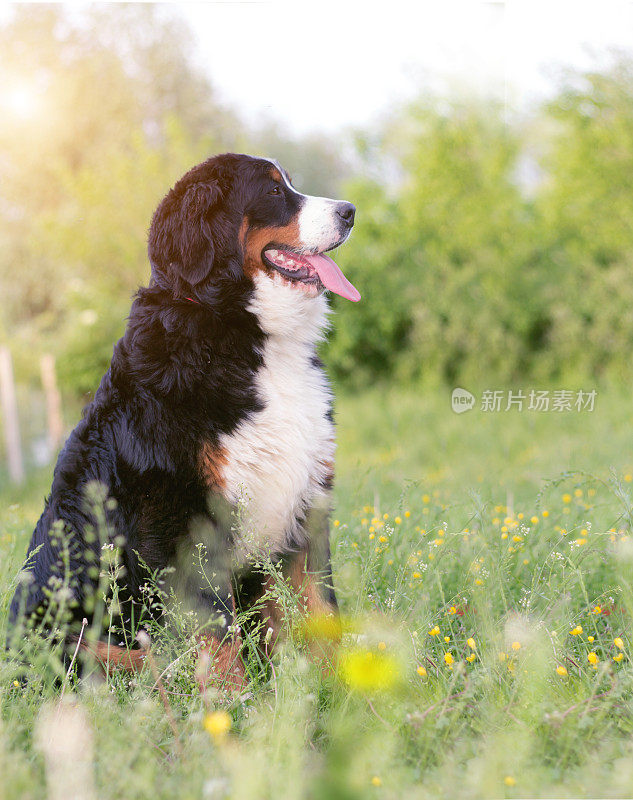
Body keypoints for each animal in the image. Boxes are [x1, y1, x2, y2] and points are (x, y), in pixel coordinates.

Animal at [7, 152, 358, 688]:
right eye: (274, 191)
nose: (350, 211)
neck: (235, 328)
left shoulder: (306, 504)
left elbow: (321, 609)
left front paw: (350, 693)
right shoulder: (182, 522)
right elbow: (217, 633)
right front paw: (235, 705)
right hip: (64, 636)